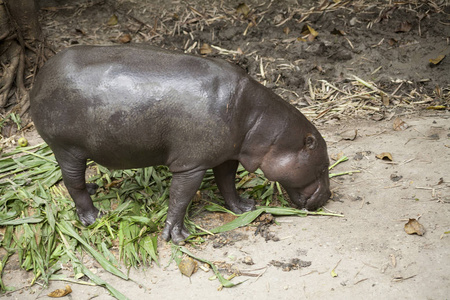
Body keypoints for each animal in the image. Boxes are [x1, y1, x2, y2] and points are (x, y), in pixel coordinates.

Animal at [28, 45, 330, 246]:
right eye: (324, 165)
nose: (327, 196)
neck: (261, 123)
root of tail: (40, 75)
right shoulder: (190, 165)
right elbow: (180, 198)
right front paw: (178, 236)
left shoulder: (226, 156)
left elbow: (227, 183)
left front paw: (244, 207)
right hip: (67, 149)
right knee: (73, 183)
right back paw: (95, 217)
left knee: (78, 183)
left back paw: (94, 190)